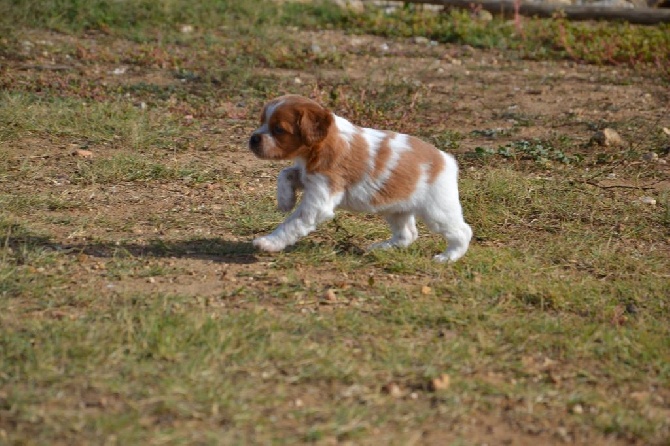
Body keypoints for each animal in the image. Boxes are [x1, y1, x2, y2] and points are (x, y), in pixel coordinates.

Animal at [249, 94, 476, 262]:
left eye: (279, 129)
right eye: (261, 122)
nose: (253, 139)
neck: (324, 143)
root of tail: (447, 160)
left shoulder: (320, 199)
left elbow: (291, 224)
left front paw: (269, 242)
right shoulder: (308, 176)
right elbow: (286, 173)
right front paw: (285, 200)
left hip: (437, 212)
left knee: (462, 231)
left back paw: (448, 257)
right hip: (396, 208)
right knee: (407, 234)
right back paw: (381, 247)